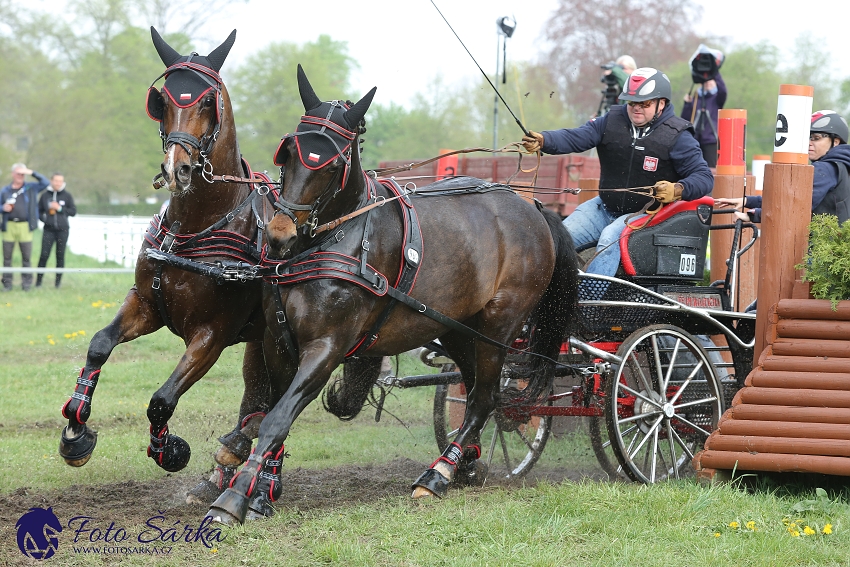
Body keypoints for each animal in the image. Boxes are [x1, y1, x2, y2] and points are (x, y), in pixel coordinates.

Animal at [60, 28, 284, 504]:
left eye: (207, 101)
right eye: (161, 100)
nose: (176, 168)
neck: (195, 226)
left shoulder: (211, 335)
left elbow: (161, 399)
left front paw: (169, 449)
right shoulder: (148, 305)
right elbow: (99, 344)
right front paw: (75, 430)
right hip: (264, 339)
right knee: (265, 396)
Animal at [205, 65, 576, 524]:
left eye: (333, 163)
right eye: (288, 153)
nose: (279, 235)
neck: (331, 240)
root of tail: (535, 209)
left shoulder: (327, 348)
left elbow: (275, 419)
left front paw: (234, 499)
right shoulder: (278, 342)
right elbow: (270, 413)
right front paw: (261, 491)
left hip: (499, 325)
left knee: (485, 397)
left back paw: (438, 475)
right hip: (457, 328)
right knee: (477, 392)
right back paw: (465, 462)